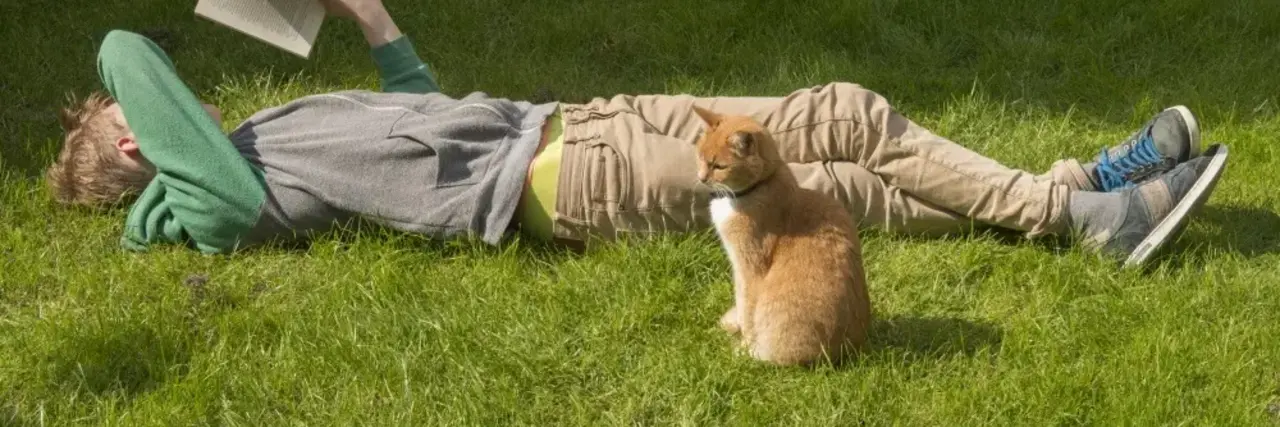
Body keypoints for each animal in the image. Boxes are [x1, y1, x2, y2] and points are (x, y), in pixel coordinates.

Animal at [696, 106, 875, 363]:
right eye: (700, 157)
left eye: (719, 166)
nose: (701, 178)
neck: (759, 186)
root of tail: (848, 350)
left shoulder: (748, 267)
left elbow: (746, 307)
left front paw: (743, 342)